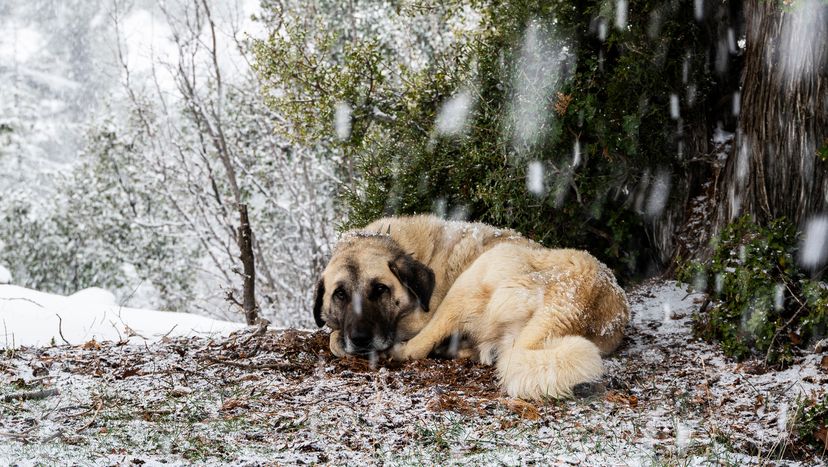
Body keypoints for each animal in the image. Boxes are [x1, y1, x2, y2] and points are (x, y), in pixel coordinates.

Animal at [314, 215, 632, 398]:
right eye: (340, 295)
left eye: (379, 289)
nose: (360, 339)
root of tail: (579, 300)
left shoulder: (417, 317)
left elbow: (334, 339)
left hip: (469, 281)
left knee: (417, 348)